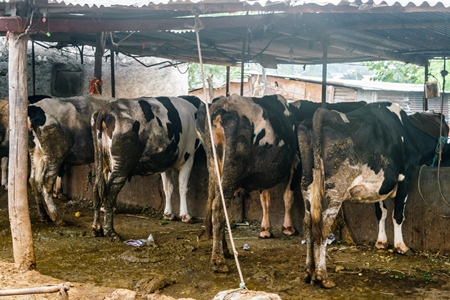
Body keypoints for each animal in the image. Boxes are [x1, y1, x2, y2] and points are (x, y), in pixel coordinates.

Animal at [28, 95, 109, 224]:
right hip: (55, 153)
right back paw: (56, 217)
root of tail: (34, 108)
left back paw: (43, 215)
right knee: (46, 182)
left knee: (34, 180)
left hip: (36, 153)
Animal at [91, 95, 200, 239]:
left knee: (97, 190)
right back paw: (111, 232)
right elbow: (182, 187)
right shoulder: (188, 158)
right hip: (121, 164)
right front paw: (185, 216)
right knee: (110, 192)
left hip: (102, 162)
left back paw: (97, 228)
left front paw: (168, 214)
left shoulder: (165, 163)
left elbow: (168, 188)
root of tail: (106, 109)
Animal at [197, 94, 302, 272]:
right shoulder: (296, 160)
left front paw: (265, 230)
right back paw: (218, 260)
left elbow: (265, 199)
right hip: (233, 166)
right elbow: (288, 195)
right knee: (218, 207)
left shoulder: (264, 174)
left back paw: (225, 251)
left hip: (214, 165)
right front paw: (288, 228)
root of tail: (221, 108)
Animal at [298, 102, 448, 288]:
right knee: (323, 226)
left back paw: (308, 272)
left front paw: (381, 242)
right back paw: (322, 276)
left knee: (308, 225)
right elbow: (398, 215)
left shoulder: (379, 187)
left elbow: (381, 212)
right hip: (335, 189)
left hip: (307, 187)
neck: (406, 132)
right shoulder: (405, 178)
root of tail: (322, 114)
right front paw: (401, 247)